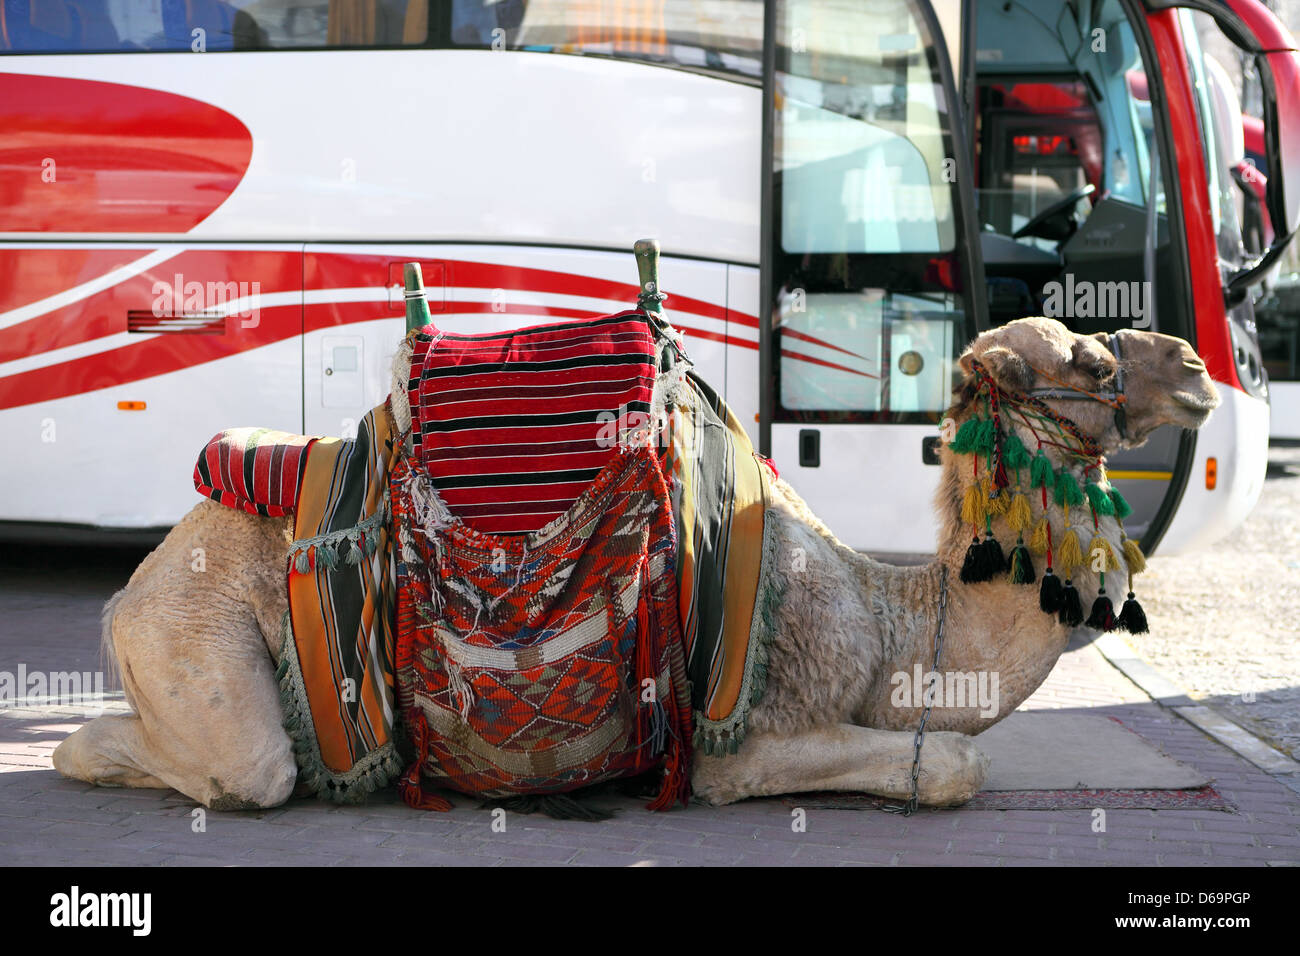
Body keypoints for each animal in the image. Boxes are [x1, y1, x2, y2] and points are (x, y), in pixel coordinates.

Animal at [53, 317, 1216, 811]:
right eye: (1091, 359)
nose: (1201, 366)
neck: (888, 619)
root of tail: (131, 589)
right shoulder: (747, 732)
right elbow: (952, 768)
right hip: (194, 636)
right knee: (240, 769)